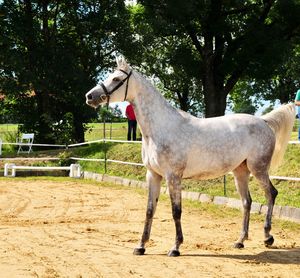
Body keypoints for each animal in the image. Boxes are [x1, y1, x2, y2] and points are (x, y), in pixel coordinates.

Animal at [85, 56, 296, 256]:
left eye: (116, 79)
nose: (90, 96)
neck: (161, 128)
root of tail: (263, 121)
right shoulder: (153, 175)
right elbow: (149, 210)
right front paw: (140, 246)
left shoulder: (173, 177)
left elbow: (176, 211)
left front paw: (175, 247)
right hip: (240, 172)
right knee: (247, 202)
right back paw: (240, 241)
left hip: (258, 168)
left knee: (271, 194)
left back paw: (268, 237)